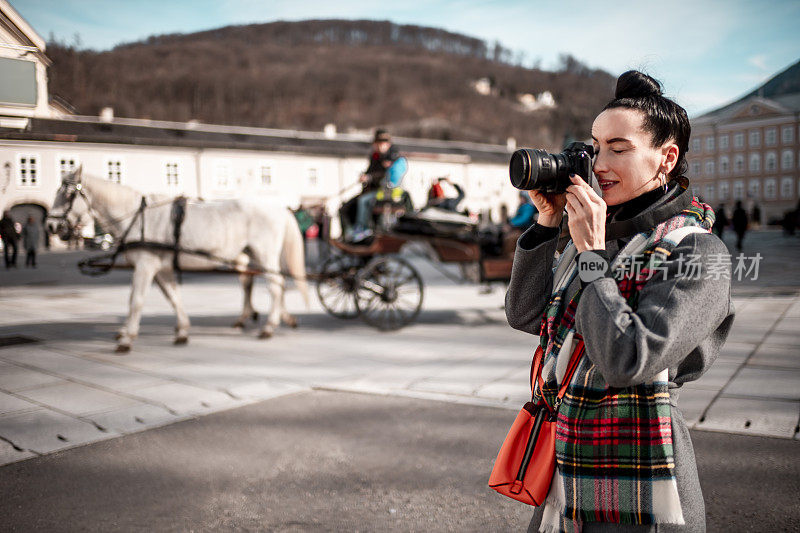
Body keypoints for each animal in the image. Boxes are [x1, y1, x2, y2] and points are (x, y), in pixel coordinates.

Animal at [48, 168, 308, 352]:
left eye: (68, 194)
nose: (51, 225)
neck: (138, 218)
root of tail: (280, 207)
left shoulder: (145, 266)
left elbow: (136, 301)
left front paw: (127, 338)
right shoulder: (161, 269)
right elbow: (173, 297)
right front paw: (182, 331)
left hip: (265, 255)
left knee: (276, 287)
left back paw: (269, 326)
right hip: (251, 255)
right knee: (264, 285)